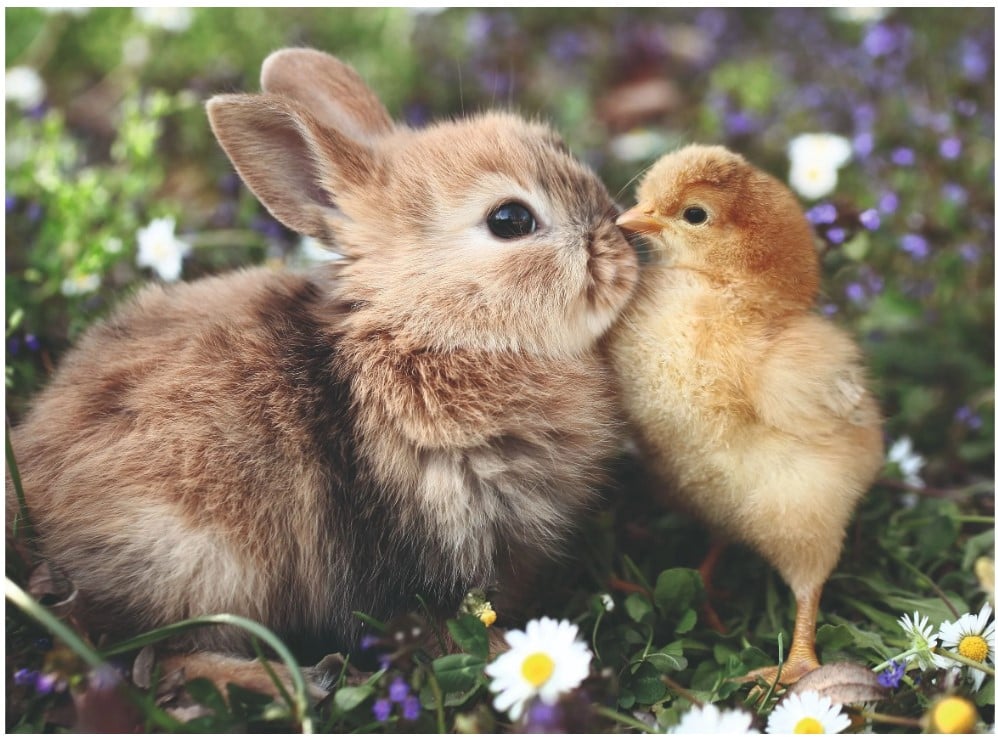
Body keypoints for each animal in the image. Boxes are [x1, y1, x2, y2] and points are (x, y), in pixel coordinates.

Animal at [6, 48, 639, 673]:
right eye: (510, 220)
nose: (623, 243)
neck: (424, 327)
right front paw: (507, 653)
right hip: (196, 556)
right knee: (162, 655)